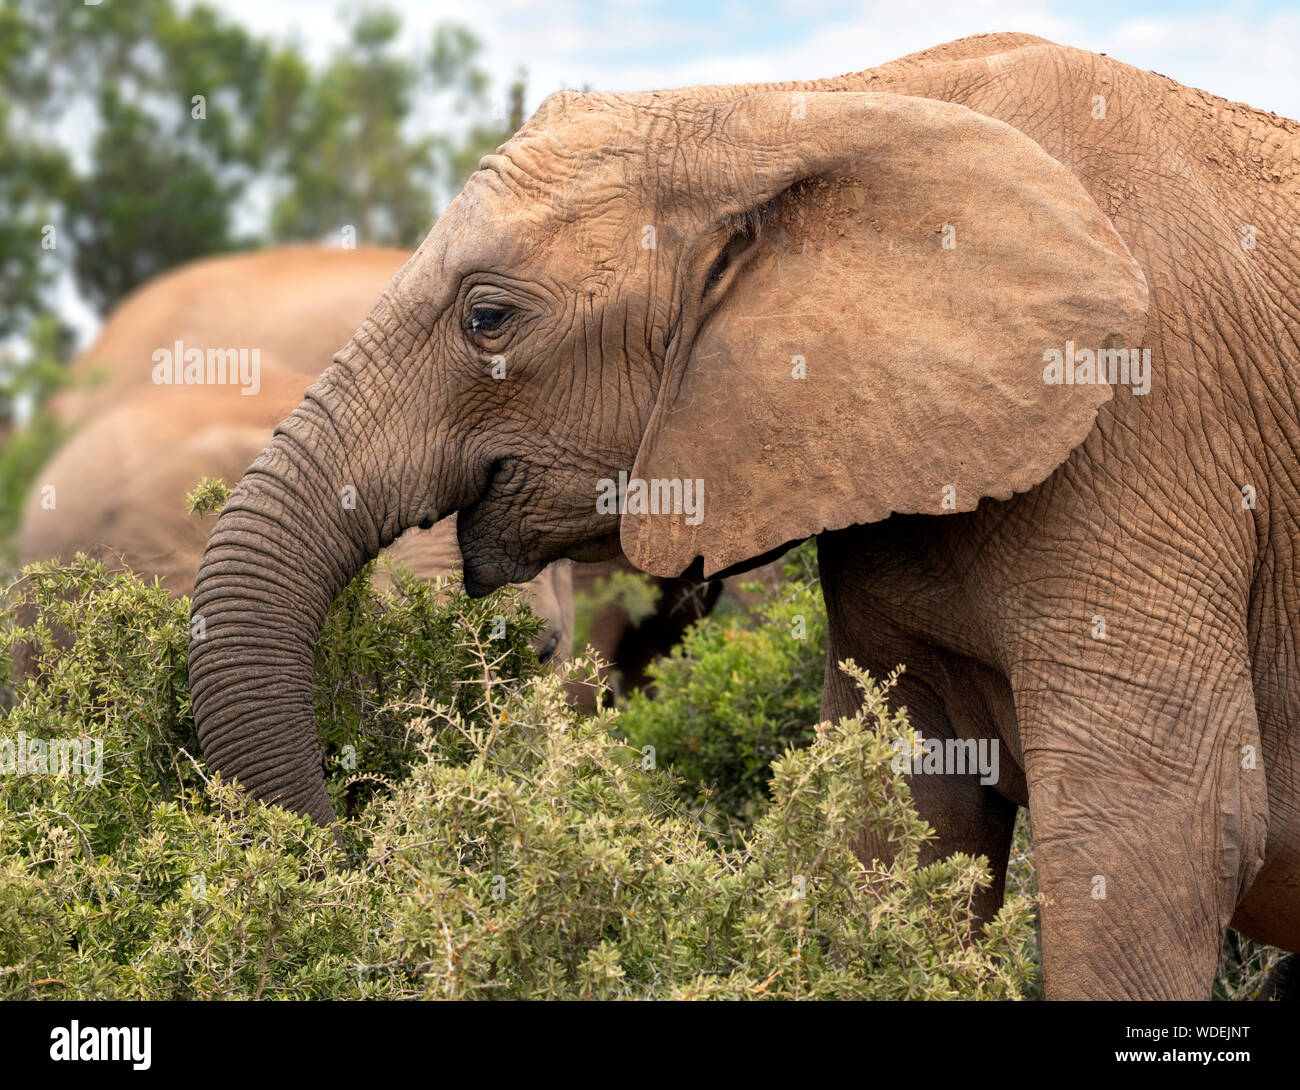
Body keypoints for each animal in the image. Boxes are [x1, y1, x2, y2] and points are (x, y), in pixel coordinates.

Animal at [188, 32, 1300, 1009]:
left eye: (487, 319)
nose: (354, 854)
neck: (806, 108)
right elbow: (900, 823)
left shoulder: (1151, 435)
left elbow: (1167, 833)